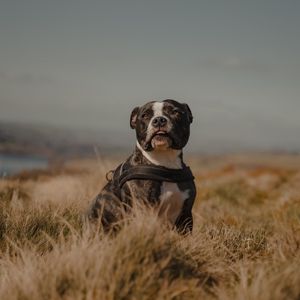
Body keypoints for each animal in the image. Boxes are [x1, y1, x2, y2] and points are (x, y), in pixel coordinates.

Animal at [88, 99, 197, 233]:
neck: (164, 163)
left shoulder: (186, 215)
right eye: (145, 115)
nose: (159, 120)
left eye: (175, 112)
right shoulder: (143, 210)